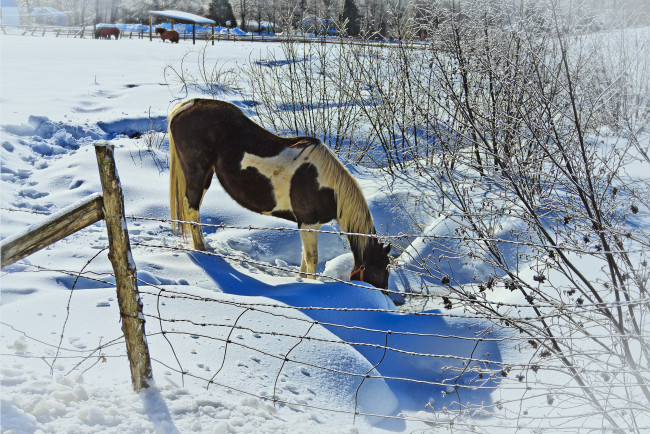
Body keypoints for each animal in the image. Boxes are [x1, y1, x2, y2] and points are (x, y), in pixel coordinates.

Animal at [168, 98, 390, 288]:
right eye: (381, 270)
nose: (386, 297)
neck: (327, 187)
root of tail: (190, 104)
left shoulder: (310, 225)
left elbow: (304, 258)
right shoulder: (308, 224)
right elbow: (312, 259)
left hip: (205, 177)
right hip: (197, 173)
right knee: (192, 208)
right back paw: (202, 251)